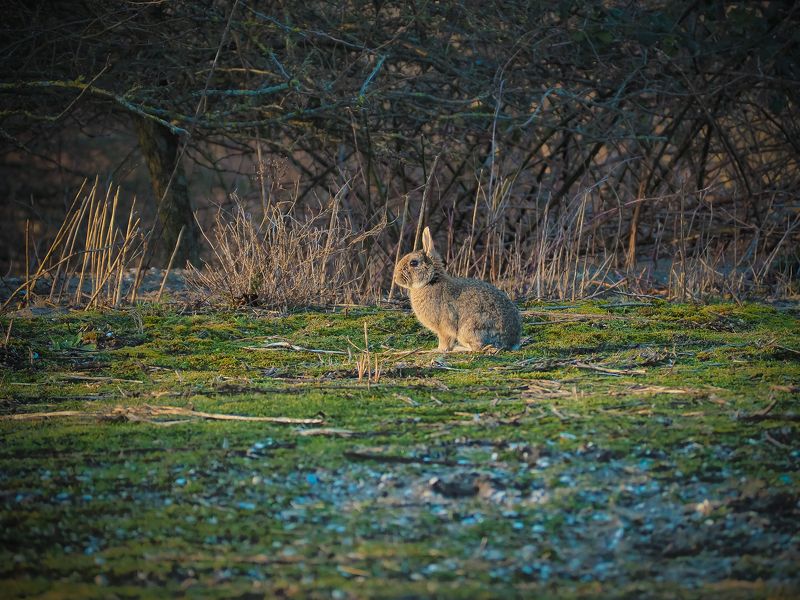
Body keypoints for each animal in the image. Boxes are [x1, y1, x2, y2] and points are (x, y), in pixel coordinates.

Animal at [393, 227, 522, 351]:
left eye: (413, 263)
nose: (395, 277)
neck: (431, 281)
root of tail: (511, 342)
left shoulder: (444, 327)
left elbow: (445, 340)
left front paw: (438, 350)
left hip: (470, 329)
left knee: (478, 347)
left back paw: (459, 348)